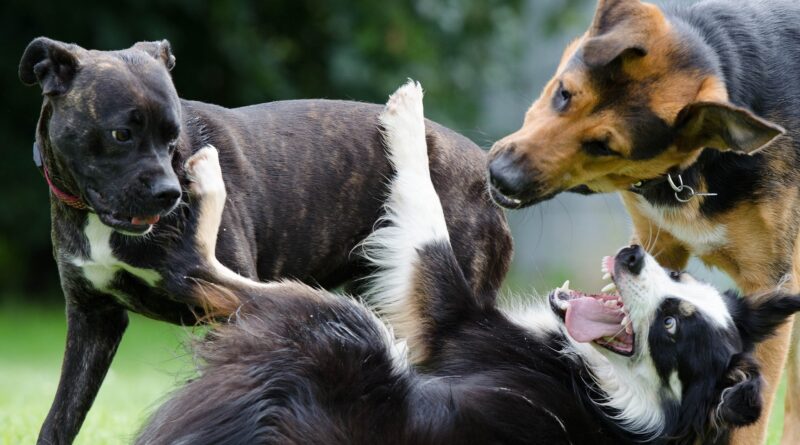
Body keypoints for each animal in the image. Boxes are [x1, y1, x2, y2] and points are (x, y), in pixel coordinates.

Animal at [20, 39, 512, 444]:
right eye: (121, 134)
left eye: (173, 136)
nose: (170, 193)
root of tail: (483, 171)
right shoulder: (92, 319)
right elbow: (62, 417)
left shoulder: (227, 314)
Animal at [134, 82, 800, 440]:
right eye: (680, 276)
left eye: (670, 326)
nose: (635, 255)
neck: (615, 393)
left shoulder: (452, 322)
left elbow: (426, 220)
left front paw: (407, 119)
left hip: (349, 326)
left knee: (201, 271)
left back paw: (206, 177)